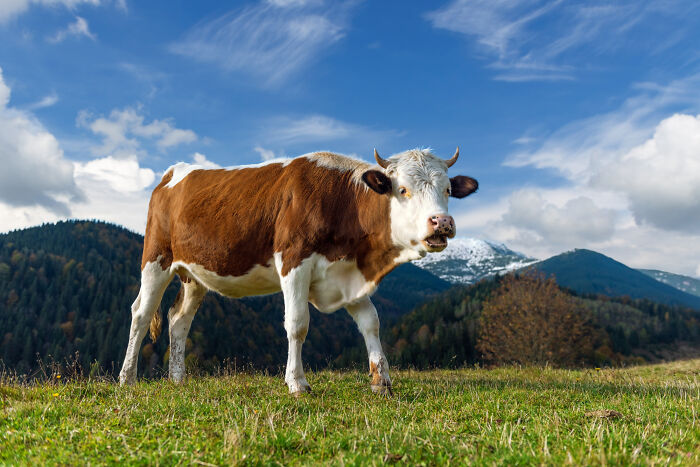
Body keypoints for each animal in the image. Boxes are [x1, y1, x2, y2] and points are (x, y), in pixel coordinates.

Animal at [119, 148, 478, 395]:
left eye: (447, 190)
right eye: (402, 189)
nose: (442, 223)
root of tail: (175, 171)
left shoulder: (348, 273)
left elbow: (371, 323)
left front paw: (382, 381)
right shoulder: (293, 261)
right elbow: (297, 324)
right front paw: (297, 383)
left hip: (194, 273)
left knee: (179, 319)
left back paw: (178, 379)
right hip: (156, 257)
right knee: (141, 313)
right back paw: (127, 378)